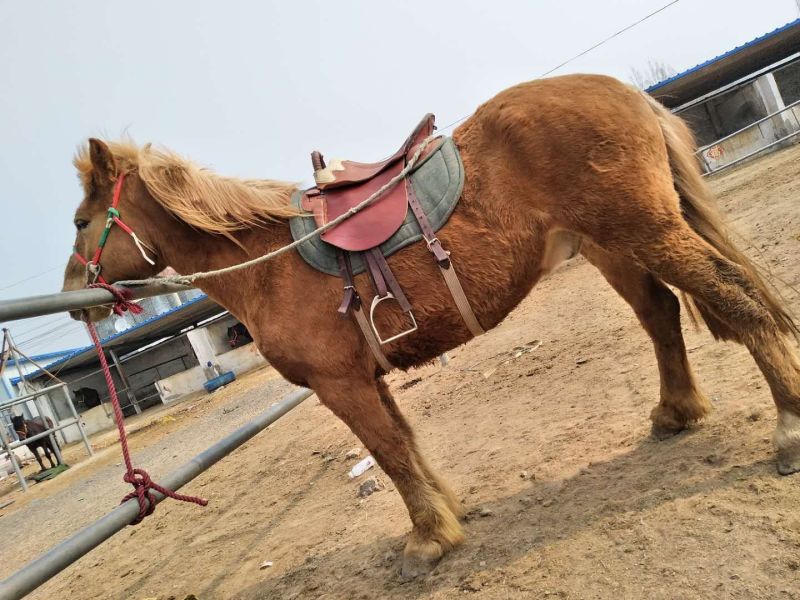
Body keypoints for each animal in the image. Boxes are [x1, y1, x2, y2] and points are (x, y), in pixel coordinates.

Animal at [61, 74, 800, 577]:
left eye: (79, 221)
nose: (75, 302)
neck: (266, 261)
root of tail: (624, 93)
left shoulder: (341, 384)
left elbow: (388, 454)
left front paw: (427, 539)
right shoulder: (367, 377)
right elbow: (406, 446)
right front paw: (445, 514)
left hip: (646, 233)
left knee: (738, 299)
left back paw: (788, 426)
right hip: (612, 245)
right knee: (662, 315)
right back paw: (676, 412)